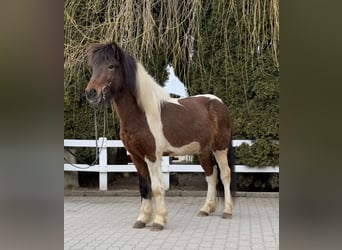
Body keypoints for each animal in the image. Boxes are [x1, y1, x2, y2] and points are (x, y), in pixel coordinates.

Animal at [86, 42, 235, 231]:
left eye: (111, 66)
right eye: (93, 67)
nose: (91, 93)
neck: (141, 113)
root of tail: (218, 103)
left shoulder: (152, 156)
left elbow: (157, 188)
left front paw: (158, 221)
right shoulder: (136, 157)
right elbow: (144, 187)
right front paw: (142, 219)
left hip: (219, 148)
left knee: (225, 174)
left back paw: (228, 211)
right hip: (203, 151)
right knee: (211, 175)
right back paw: (206, 209)